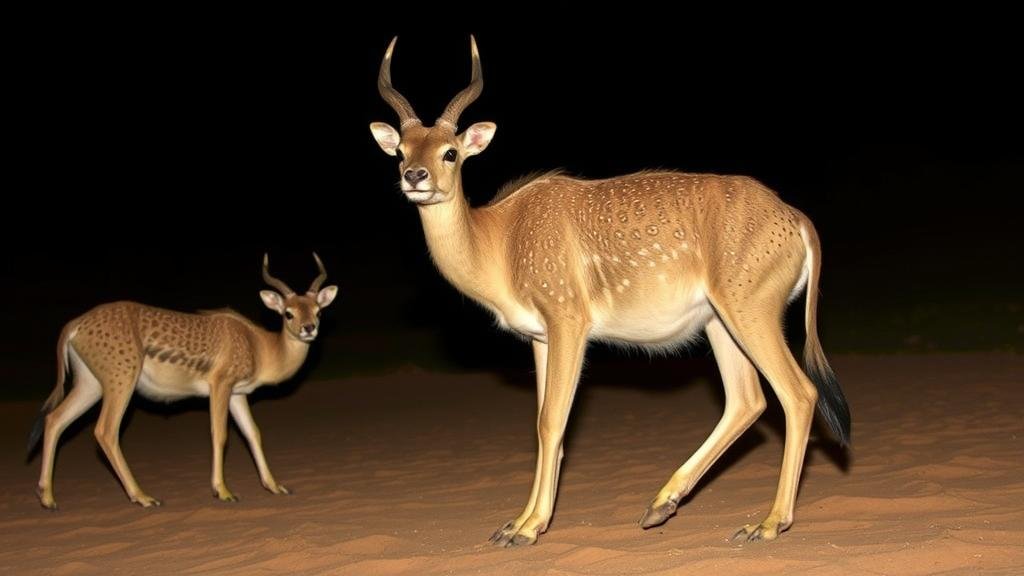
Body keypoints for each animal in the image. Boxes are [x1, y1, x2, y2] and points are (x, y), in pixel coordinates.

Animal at [27, 251, 339, 506]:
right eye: (288, 314)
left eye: (318, 311)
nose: (309, 328)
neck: (258, 344)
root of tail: (75, 324)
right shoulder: (220, 387)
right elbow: (220, 435)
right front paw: (223, 491)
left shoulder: (237, 394)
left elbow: (253, 433)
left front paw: (274, 486)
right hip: (121, 383)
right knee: (105, 431)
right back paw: (142, 497)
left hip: (90, 386)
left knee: (54, 420)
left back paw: (47, 497)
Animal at [372, 36, 851, 545]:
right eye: (401, 151)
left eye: (450, 153)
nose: (414, 177)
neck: (500, 237)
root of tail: (795, 218)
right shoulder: (541, 339)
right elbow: (545, 426)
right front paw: (519, 522)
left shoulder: (569, 325)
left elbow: (552, 421)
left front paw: (530, 528)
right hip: (721, 323)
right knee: (748, 400)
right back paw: (662, 504)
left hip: (749, 314)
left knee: (798, 395)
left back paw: (768, 523)